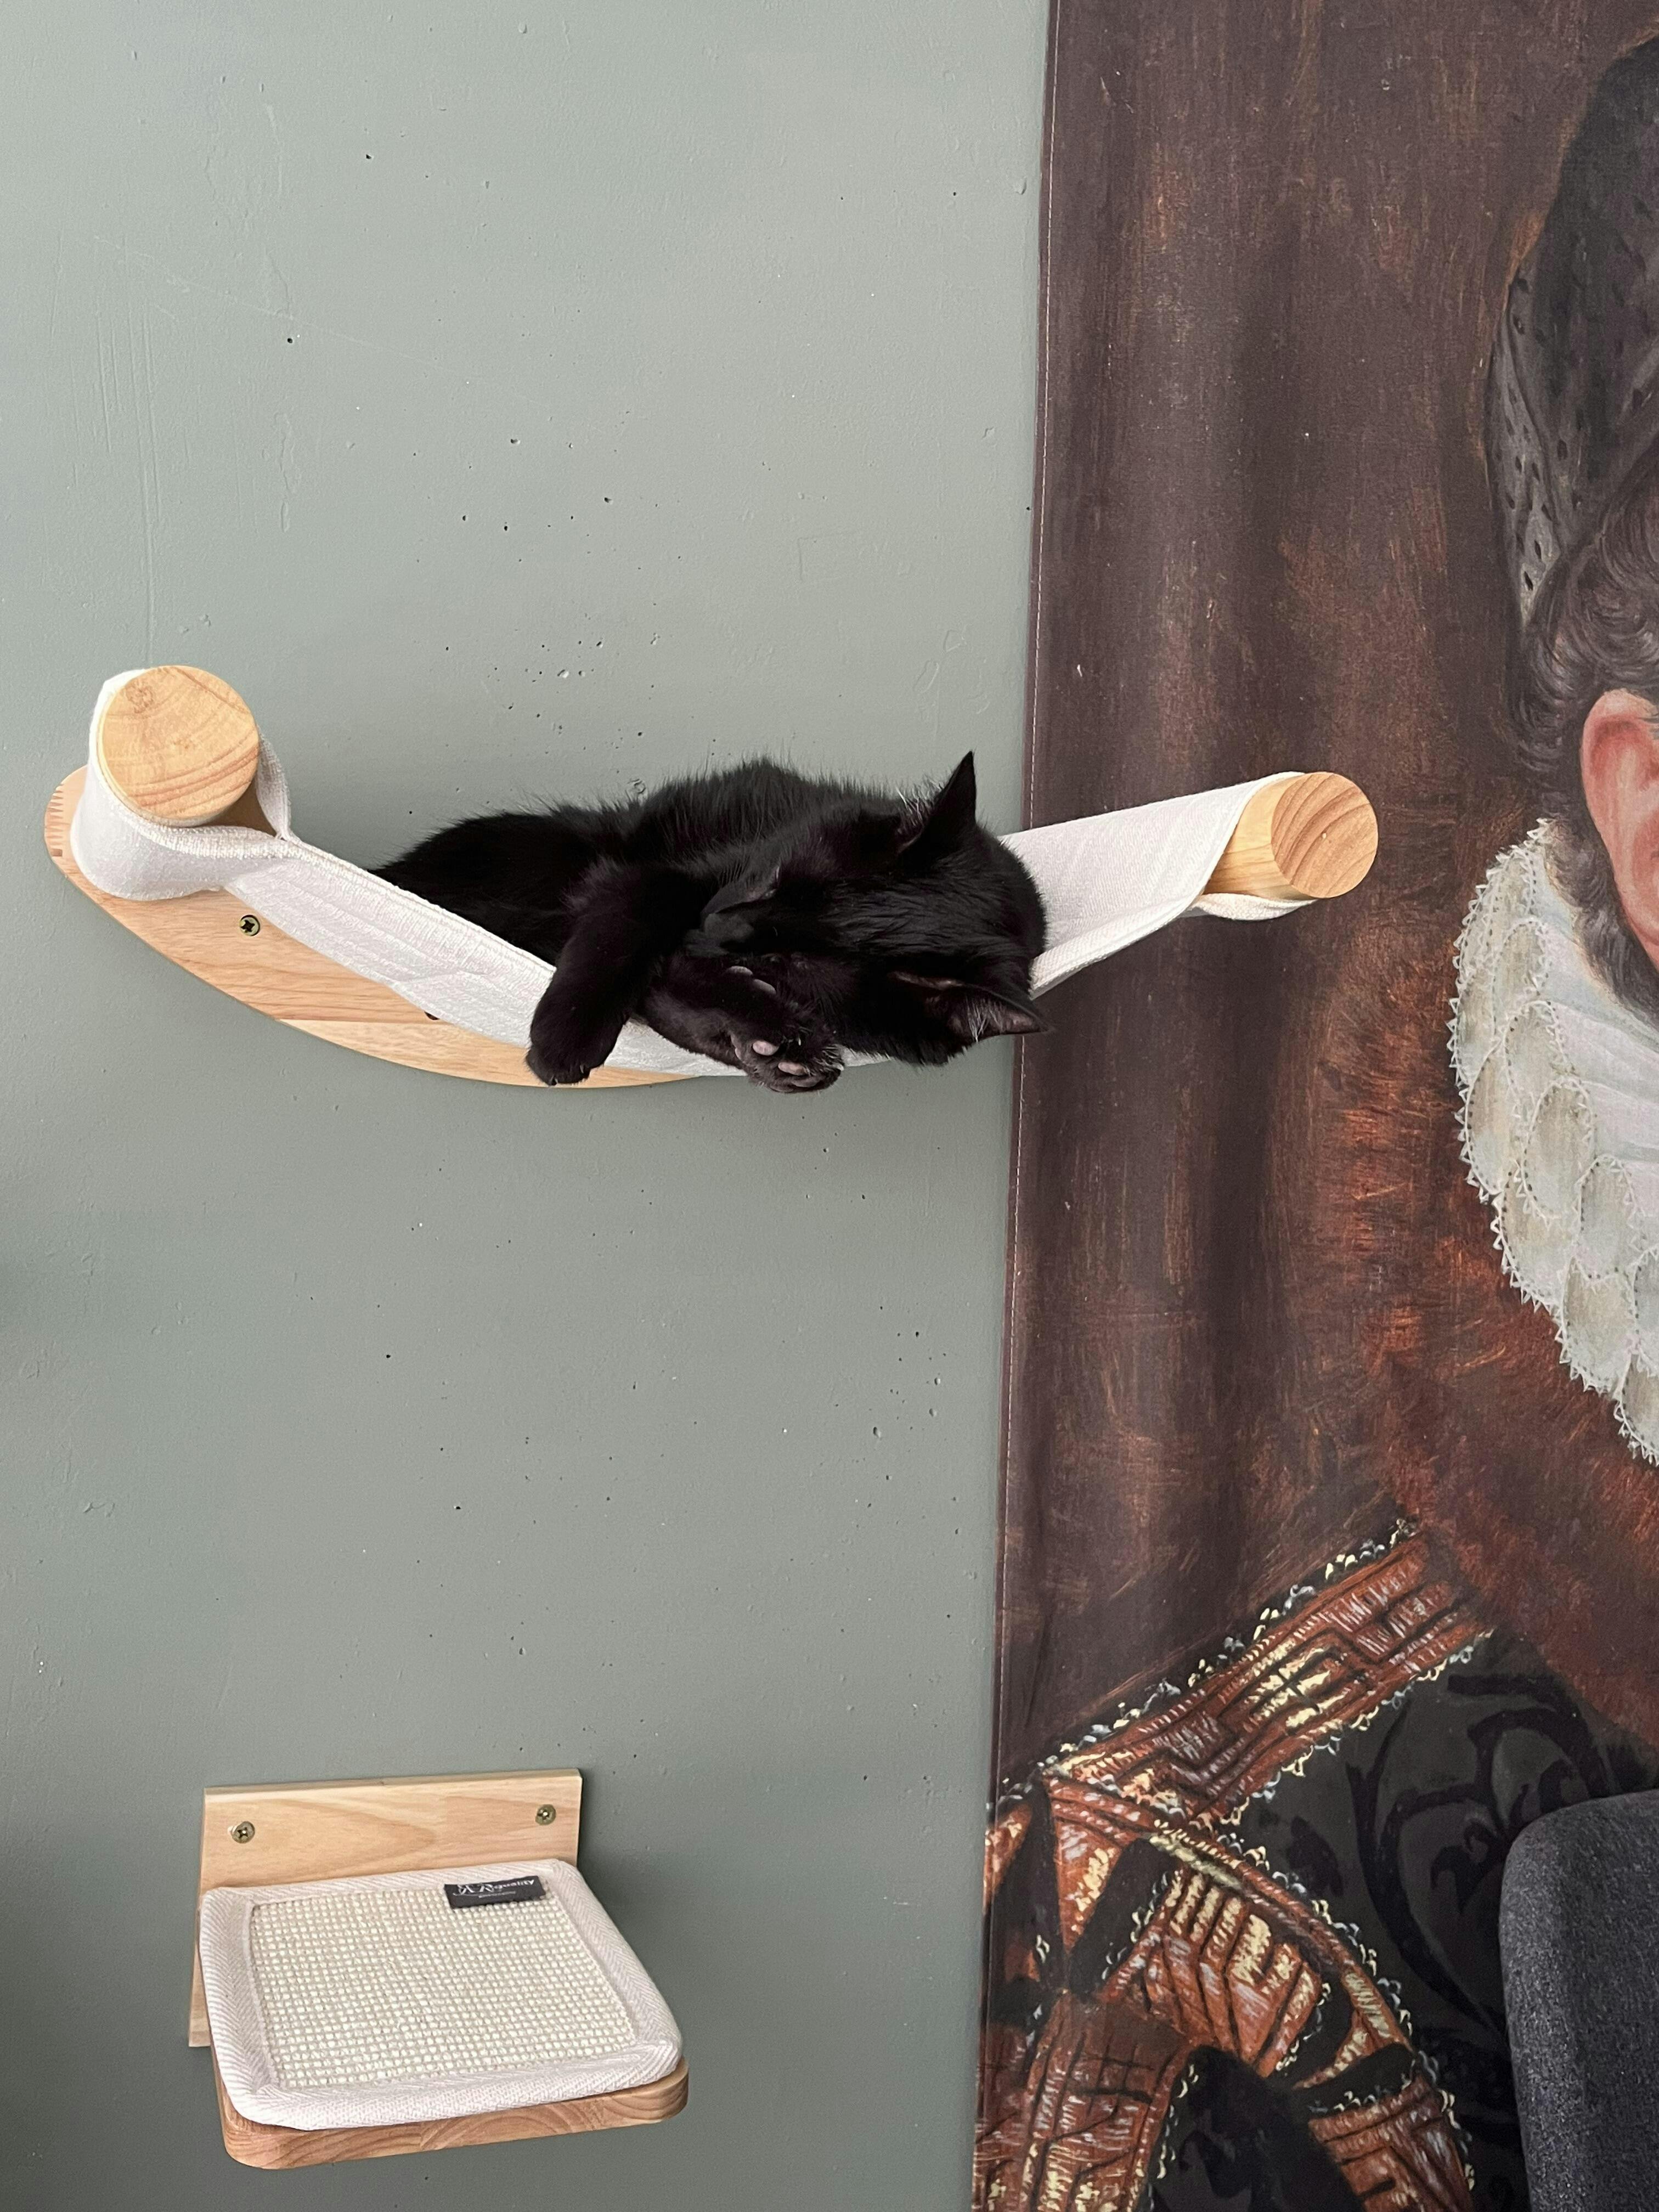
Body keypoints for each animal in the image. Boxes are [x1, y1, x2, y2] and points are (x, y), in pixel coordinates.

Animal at [378, 751, 1046, 1089]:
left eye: (790, 960)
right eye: (772, 876)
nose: (715, 922)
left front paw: (774, 1048)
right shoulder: (665, 878)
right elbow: (628, 932)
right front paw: (566, 1037)